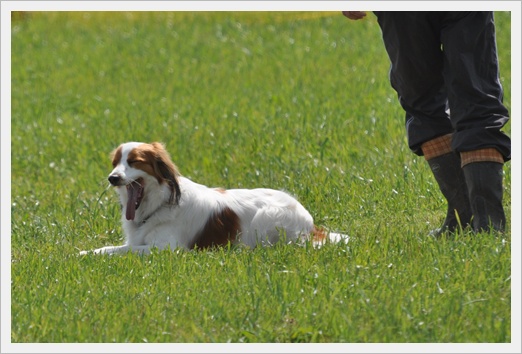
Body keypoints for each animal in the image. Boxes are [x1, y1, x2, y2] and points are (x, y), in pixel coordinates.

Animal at [79, 141, 346, 254]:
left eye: (134, 161)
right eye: (115, 162)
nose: (112, 178)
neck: (161, 203)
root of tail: (310, 224)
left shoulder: (167, 248)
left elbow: (120, 251)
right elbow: (109, 248)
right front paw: (83, 254)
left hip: (265, 218)